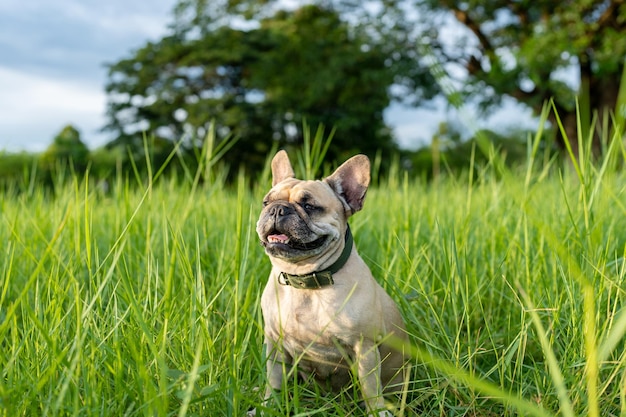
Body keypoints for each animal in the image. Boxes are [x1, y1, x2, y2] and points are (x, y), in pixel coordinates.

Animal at [250, 150, 410, 416]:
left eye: (309, 206)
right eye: (266, 202)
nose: (278, 210)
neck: (304, 281)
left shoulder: (365, 348)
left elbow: (370, 387)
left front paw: (376, 411)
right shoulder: (274, 344)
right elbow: (273, 380)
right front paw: (267, 406)